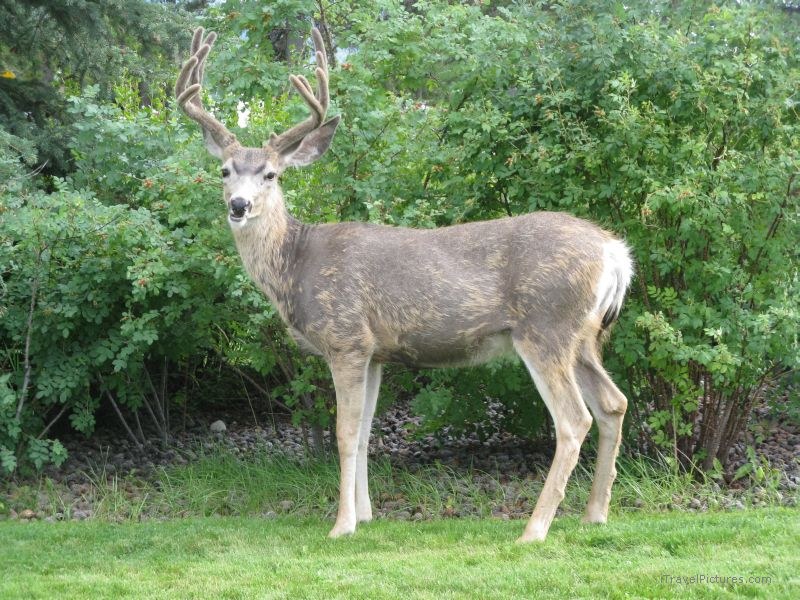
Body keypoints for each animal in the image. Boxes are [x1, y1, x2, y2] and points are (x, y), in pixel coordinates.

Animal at [175, 27, 633, 543]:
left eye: (271, 174)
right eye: (225, 170)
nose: (238, 205)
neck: (298, 265)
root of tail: (615, 252)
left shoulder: (347, 337)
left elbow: (344, 433)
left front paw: (342, 525)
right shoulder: (376, 352)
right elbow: (366, 432)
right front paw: (367, 515)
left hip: (546, 327)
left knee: (574, 420)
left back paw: (534, 529)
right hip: (584, 336)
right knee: (614, 403)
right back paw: (595, 514)